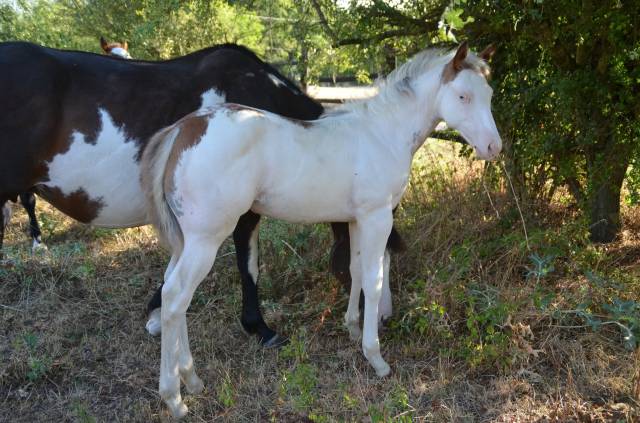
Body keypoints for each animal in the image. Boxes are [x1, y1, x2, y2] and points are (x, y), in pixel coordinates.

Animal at [141, 41, 500, 418]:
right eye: (463, 96)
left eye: (489, 94)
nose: (494, 147)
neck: (382, 134)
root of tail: (184, 129)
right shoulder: (377, 216)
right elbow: (373, 281)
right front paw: (376, 357)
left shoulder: (356, 219)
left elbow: (356, 270)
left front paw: (352, 327)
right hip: (205, 240)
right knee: (176, 297)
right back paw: (175, 398)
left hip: (186, 241)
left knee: (173, 294)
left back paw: (193, 380)